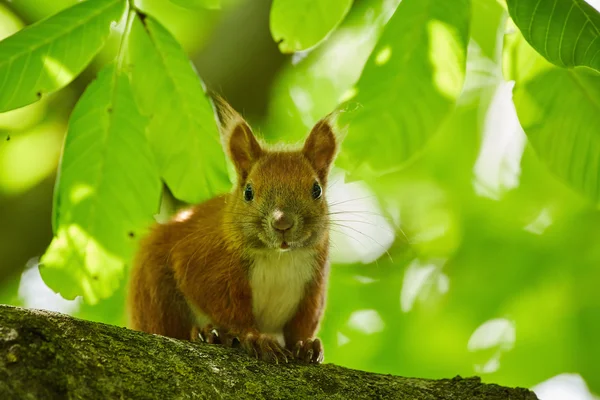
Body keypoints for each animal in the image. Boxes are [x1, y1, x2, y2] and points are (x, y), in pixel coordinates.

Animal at [127, 98, 338, 364]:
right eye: (248, 192)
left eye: (316, 190)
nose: (282, 223)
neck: (277, 256)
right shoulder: (207, 262)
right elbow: (227, 307)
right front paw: (254, 337)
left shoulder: (313, 283)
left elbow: (303, 322)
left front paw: (306, 344)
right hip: (154, 293)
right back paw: (210, 335)